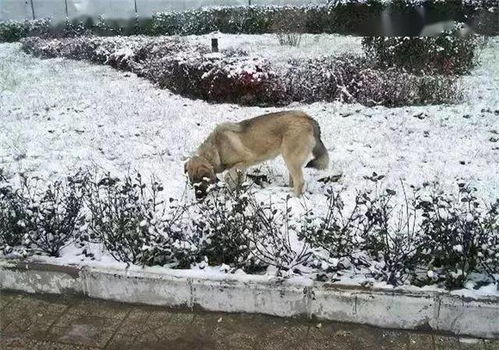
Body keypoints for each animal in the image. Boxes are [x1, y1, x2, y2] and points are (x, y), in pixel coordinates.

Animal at [184, 110, 328, 198]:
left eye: (200, 182)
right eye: (191, 184)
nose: (198, 199)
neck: (216, 149)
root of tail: (308, 118)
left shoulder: (244, 161)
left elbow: (228, 176)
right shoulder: (242, 168)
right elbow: (238, 180)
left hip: (290, 158)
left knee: (300, 181)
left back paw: (294, 198)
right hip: (291, 160)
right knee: (294, 179)